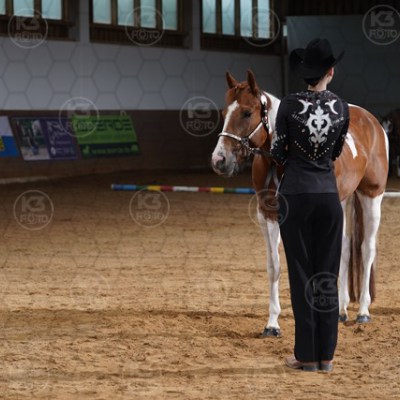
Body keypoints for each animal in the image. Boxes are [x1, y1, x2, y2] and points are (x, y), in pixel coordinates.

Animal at [211, 70, 388, 337]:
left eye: (247, 112)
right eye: (224, 113)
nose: (219, 160)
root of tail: (372, 122)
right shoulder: (268, 213)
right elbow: (274, 266)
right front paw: (272, 323)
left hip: (371, 196)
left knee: (367, 249)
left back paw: (363, 311)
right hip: (344, 200)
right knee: (346, 248)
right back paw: (341, 310)